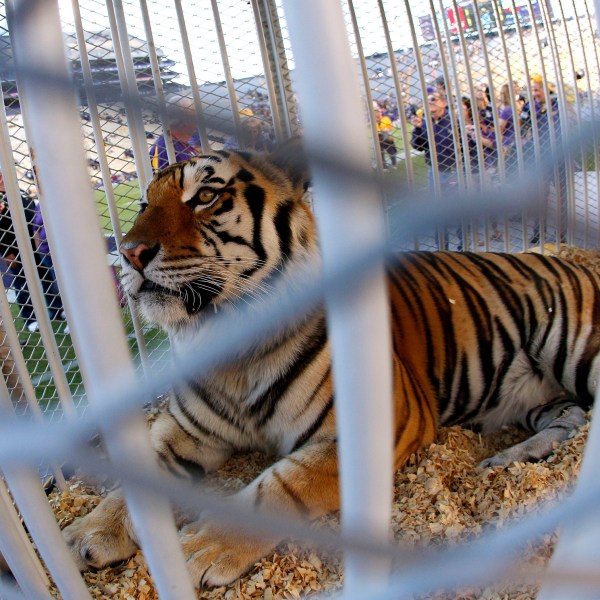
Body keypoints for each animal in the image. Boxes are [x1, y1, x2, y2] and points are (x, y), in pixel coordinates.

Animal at [63, 145, 592, 584]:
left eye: (206, 196)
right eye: (142, 204)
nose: (129, 253)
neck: (229, 351)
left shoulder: (374, 430)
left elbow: (278, 488)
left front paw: (200, 548)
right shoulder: (185, 429)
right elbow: (138, 475)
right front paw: (88, 532)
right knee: (571, 417)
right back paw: (508, 459)